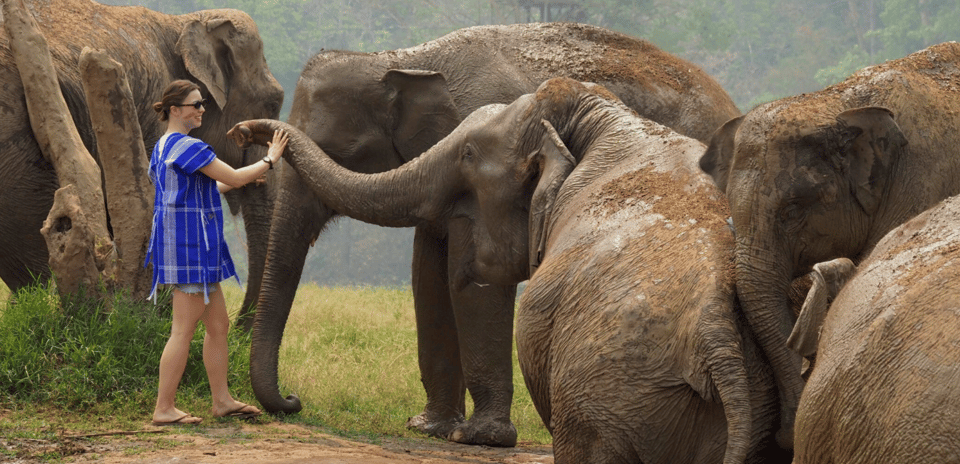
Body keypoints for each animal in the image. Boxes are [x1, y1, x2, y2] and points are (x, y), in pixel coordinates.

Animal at [229, 78, 792, 462]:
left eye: (468, 153)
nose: (242, 130)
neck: (595, 111)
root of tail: (715, 327)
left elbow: (480, 282)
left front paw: (473, 439)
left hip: (614, 395)